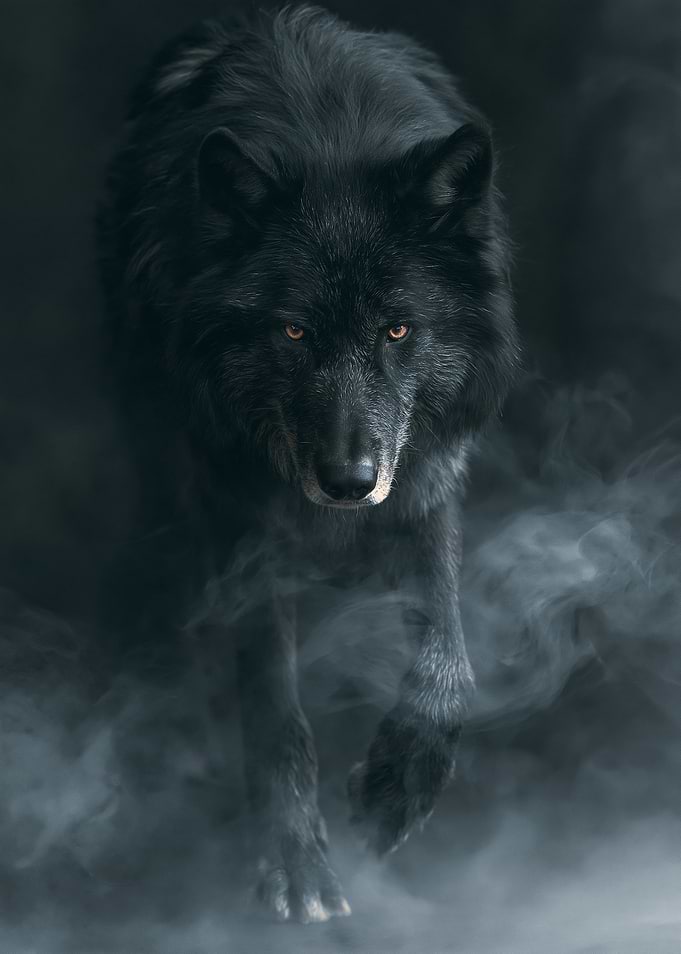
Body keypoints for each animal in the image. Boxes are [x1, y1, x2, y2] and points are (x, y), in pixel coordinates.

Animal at [97, 3, 519, 924]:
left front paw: (395, 794)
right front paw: (293, 861)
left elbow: (448, 664)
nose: (347, 483)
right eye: (292, 331)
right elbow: (272, 703)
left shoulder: (424, 484)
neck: (328, 132)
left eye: (396, 329)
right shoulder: (239, 519)